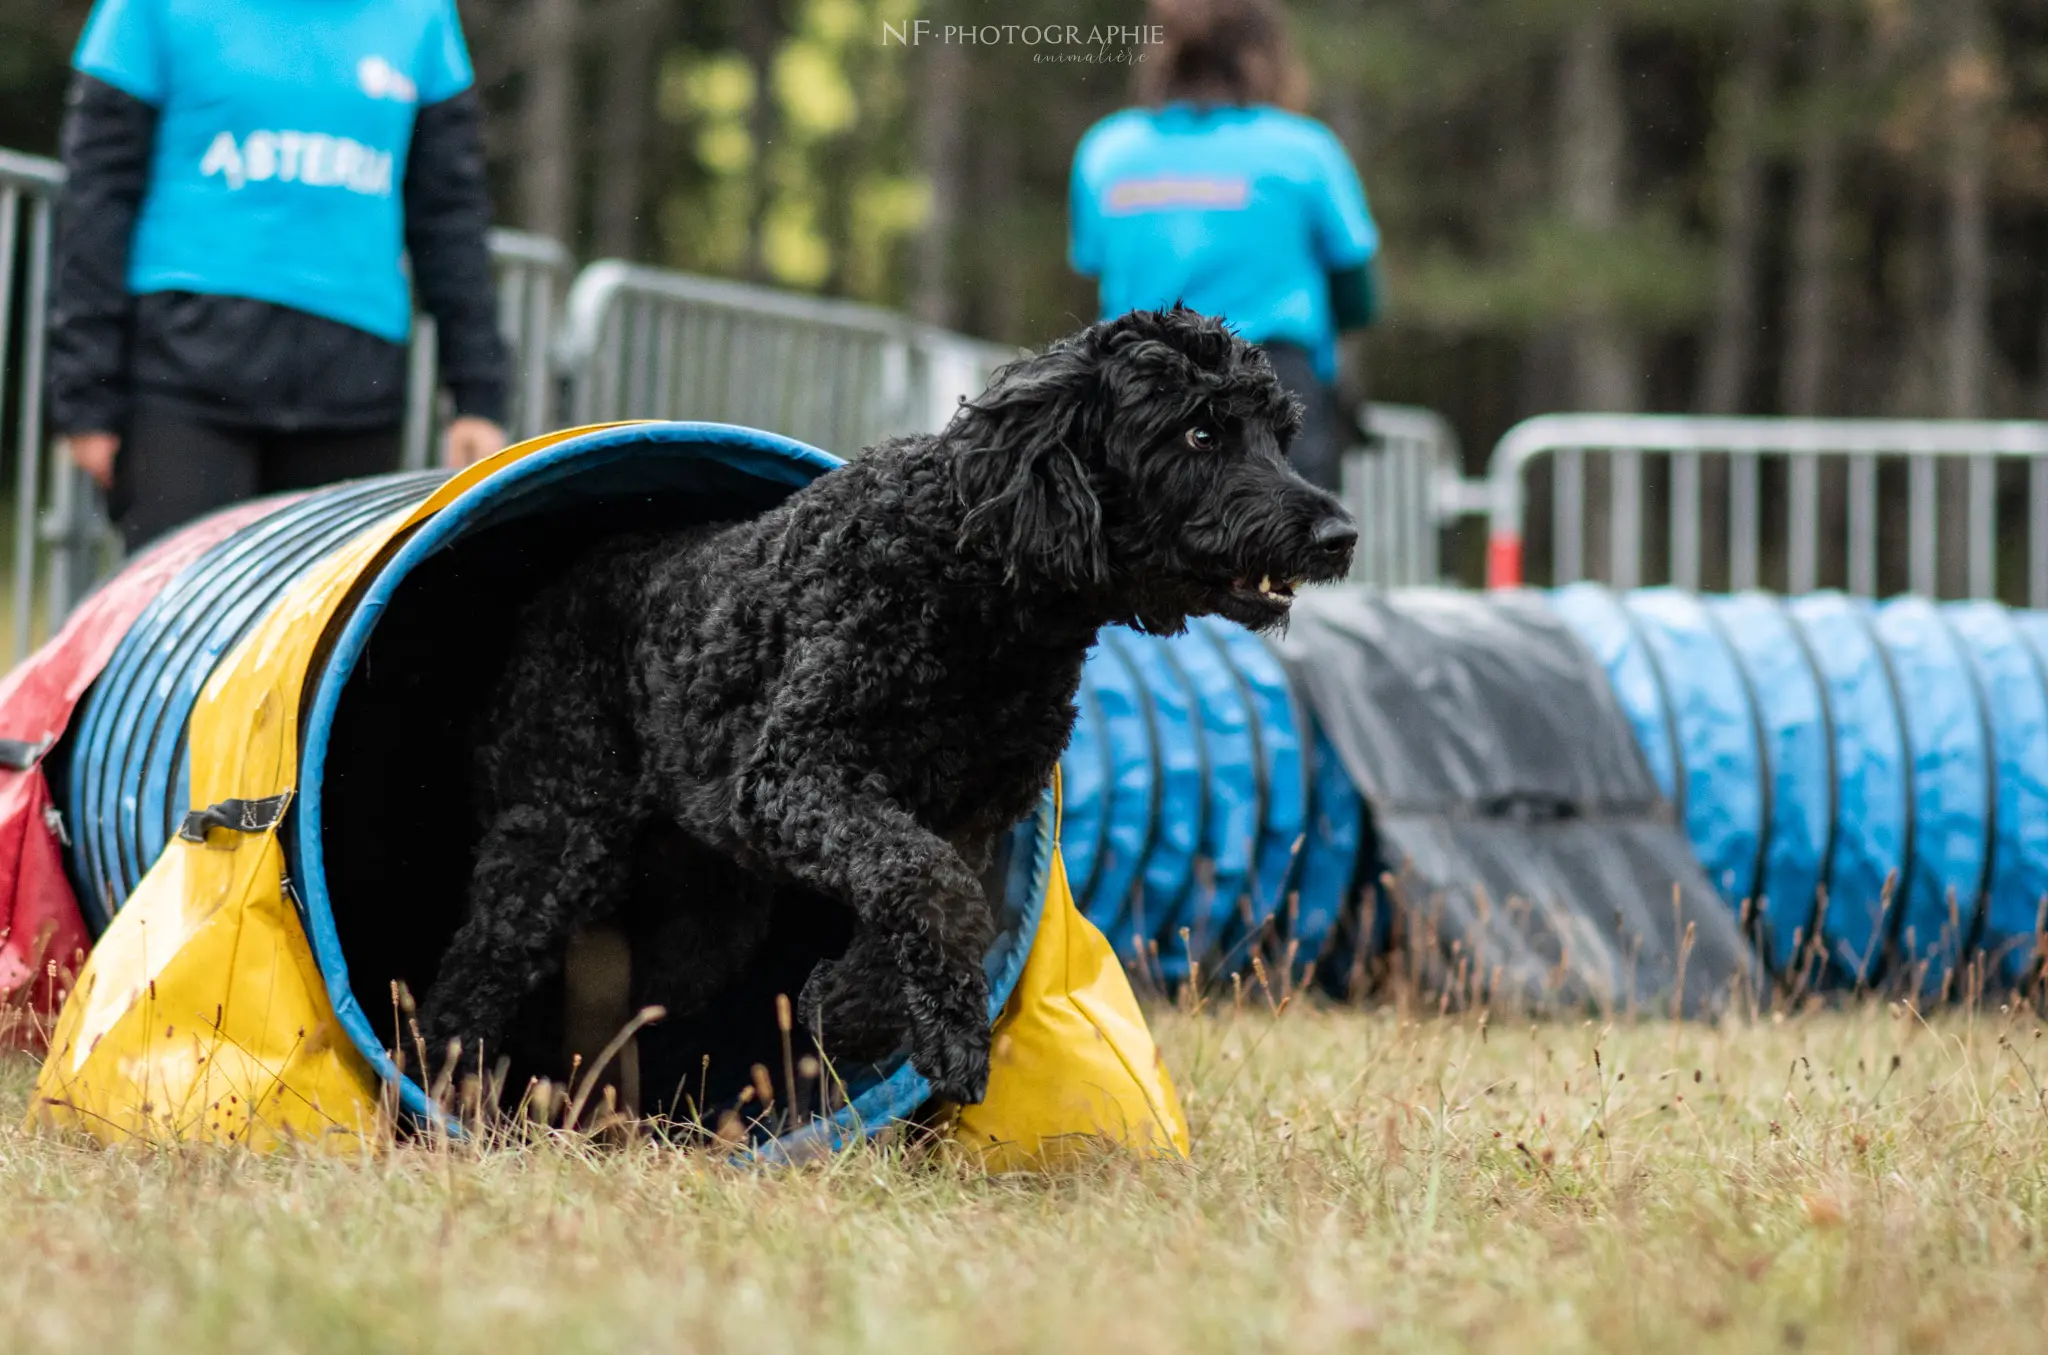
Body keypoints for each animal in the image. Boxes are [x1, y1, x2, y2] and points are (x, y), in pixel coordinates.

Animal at [415, 311, 1351, 1113]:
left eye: (1279, 434)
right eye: (1200, 433)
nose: (1338, 534)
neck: (976, 586)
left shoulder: (969, 813)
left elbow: (931, 897)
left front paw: (845, 1011)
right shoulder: (796, 777)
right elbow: (929, 884)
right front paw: (924, 1035)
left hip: (707, 911)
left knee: (639, 997)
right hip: (557, 840)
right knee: (470, 980)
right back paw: (440, 1092)